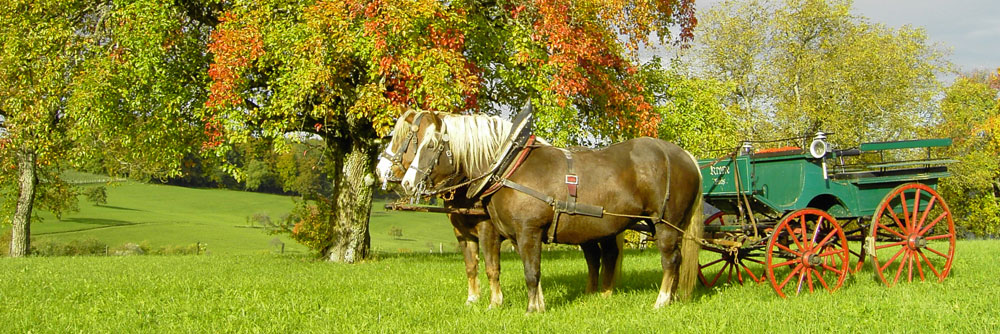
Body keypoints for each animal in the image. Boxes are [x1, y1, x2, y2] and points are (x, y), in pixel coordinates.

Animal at [402, 113, 708, 314]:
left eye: (431, 146)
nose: (406, 182)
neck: (508, 166)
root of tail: (684, 156)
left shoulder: (528, 231)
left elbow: (530, 272)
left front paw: (530, 310)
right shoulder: (518, 236)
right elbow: (531, 271)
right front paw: (538, 304)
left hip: (665, 224)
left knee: (670, 261)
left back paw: (661, 301)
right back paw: (670, 299)